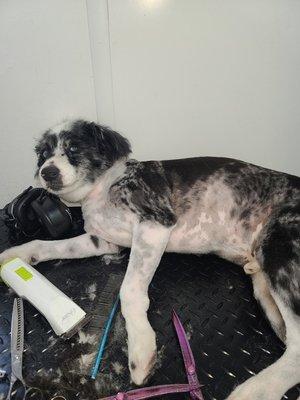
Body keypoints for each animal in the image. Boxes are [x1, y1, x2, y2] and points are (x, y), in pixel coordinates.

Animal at [0, 119, 298, 400]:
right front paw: (17, 256)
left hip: (279, 248)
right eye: (44, 153)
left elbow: (130, 290)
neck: (103, 189)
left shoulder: (154, 224)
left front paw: (141, 347)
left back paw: (255, 390)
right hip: (265, 275)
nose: (47, 172)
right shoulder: (103, 241)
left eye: (73, 148)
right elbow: (50, 245)